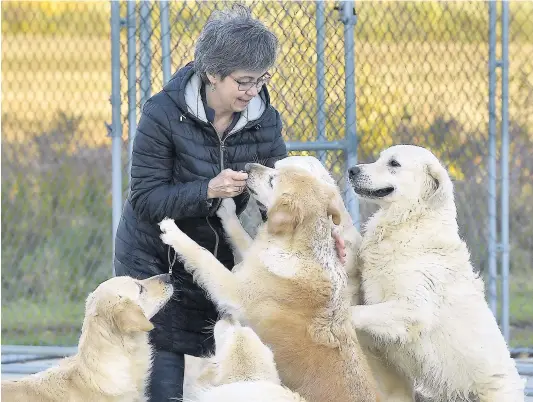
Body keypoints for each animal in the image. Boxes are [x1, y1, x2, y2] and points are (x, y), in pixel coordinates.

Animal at [158, 163, 378, 402]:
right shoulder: (253, 257)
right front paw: (227, 209)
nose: (247, 166)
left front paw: (173, 232)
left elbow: (203, 254)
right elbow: (238, 232)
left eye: (273, 180)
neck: (301, 249)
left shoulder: (234, 290)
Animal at [344, 145, 524, 402]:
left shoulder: (413, 308)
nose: (352, 170)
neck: (411, 221)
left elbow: (359, 312)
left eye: (394, 163)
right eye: (379, 158)